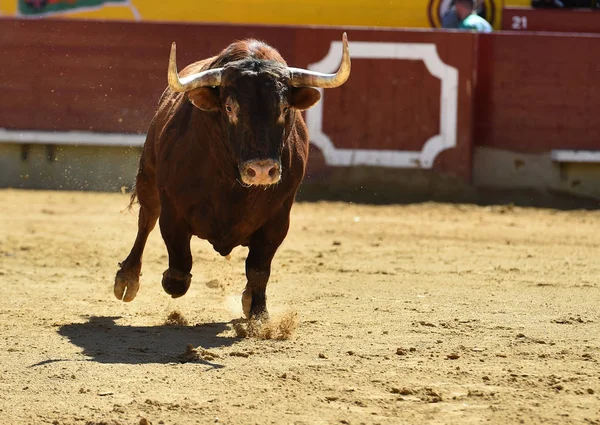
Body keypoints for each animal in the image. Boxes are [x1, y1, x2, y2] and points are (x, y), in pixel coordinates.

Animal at [114, 33, 352, 318]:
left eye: (284, 108)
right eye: (229, 108)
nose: (261, 170)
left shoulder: (278, 217)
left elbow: (259, 269)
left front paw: (258, 312)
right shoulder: (173, 210)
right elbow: (179, 268)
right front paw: (166, 278)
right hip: (148, 176)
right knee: (146, 220)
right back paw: (127, 279)